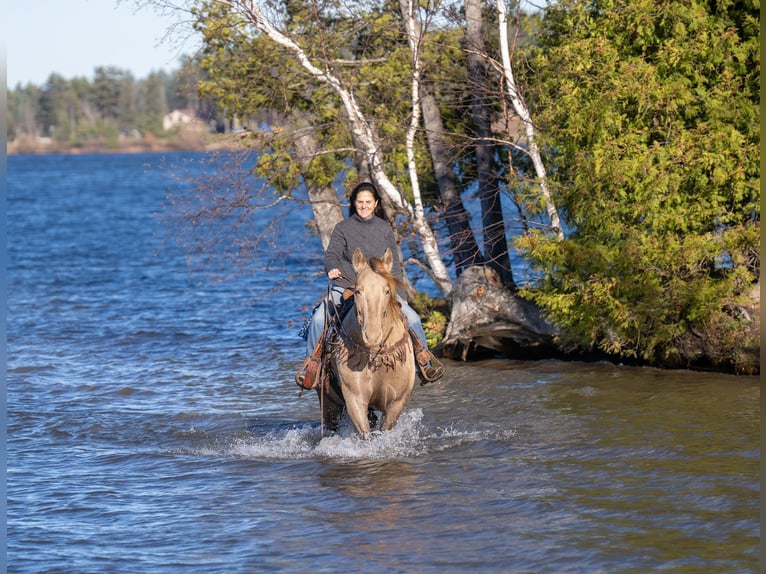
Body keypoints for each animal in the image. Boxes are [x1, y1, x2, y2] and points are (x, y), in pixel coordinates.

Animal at [319, 247, 416, 437]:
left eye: (387, 290)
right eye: (358, 291)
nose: (372, 336)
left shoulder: (395, 403)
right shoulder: (355, 400)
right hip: (329, 405)